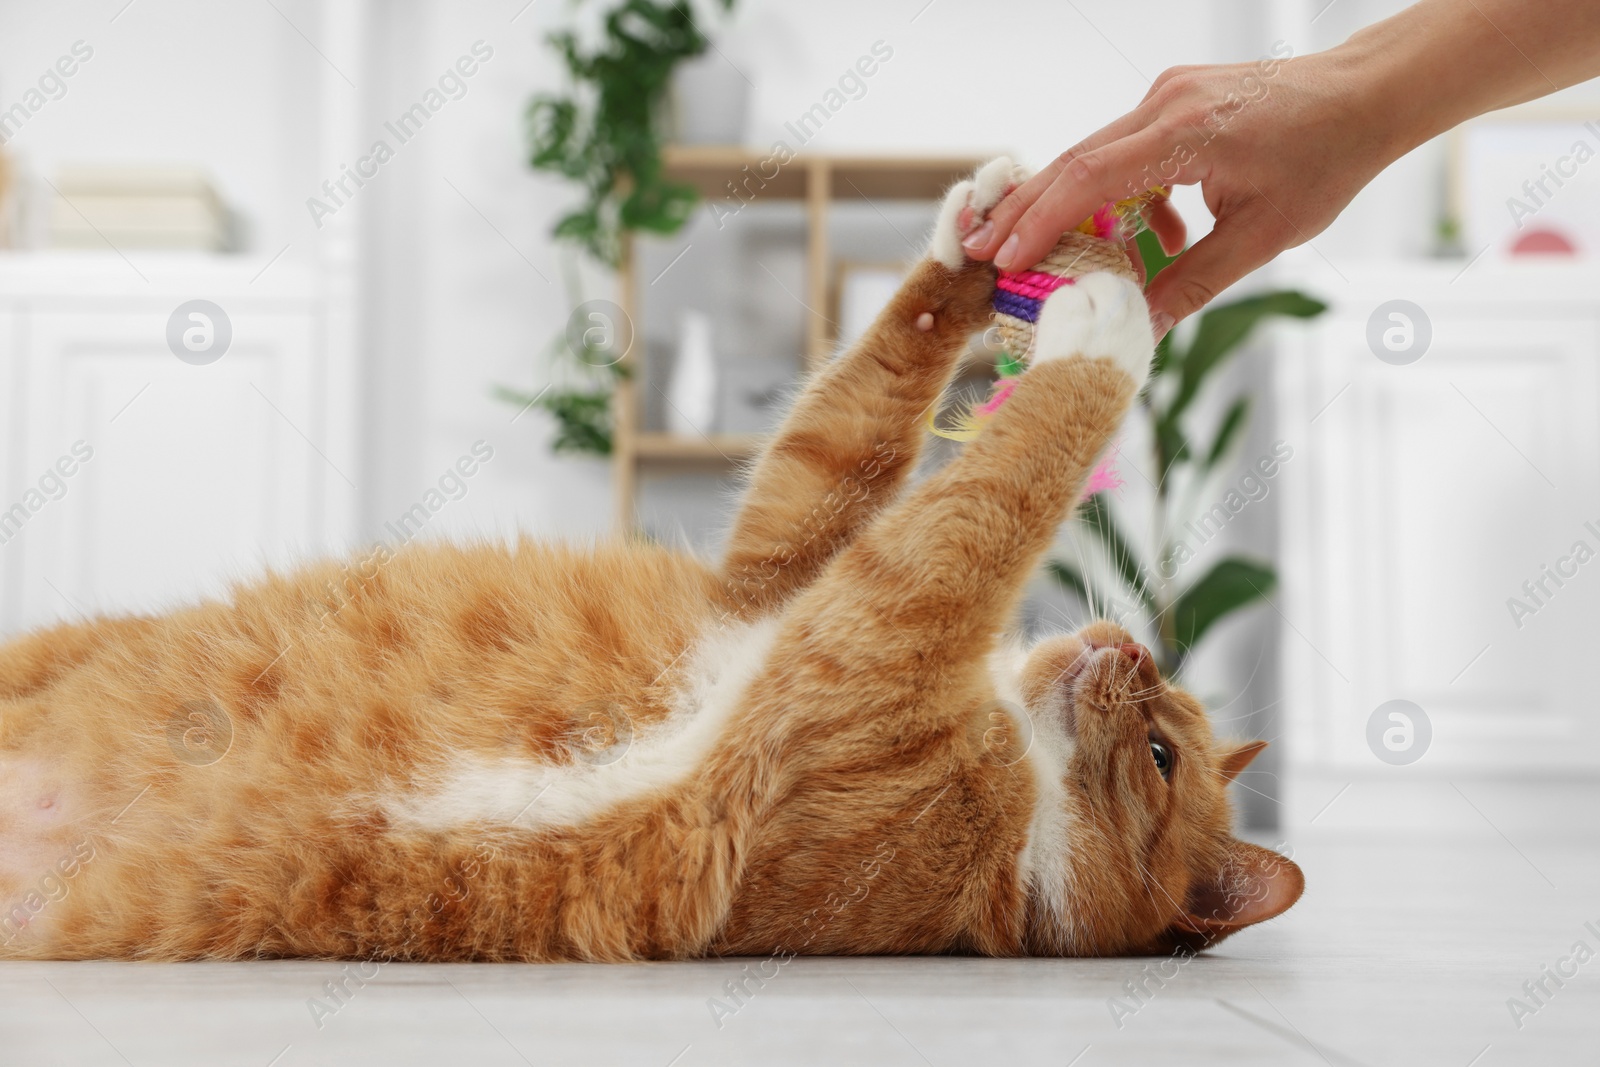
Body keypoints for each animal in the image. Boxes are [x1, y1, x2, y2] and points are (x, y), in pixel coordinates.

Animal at [0, 160, 1299, 966]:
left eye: (1160, 750)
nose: (1129, 644)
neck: (1024, 794)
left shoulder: (868, 631)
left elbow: (1017, 469)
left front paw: (1112, 315)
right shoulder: (773, 575)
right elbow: (858, 421)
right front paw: (978, 239)